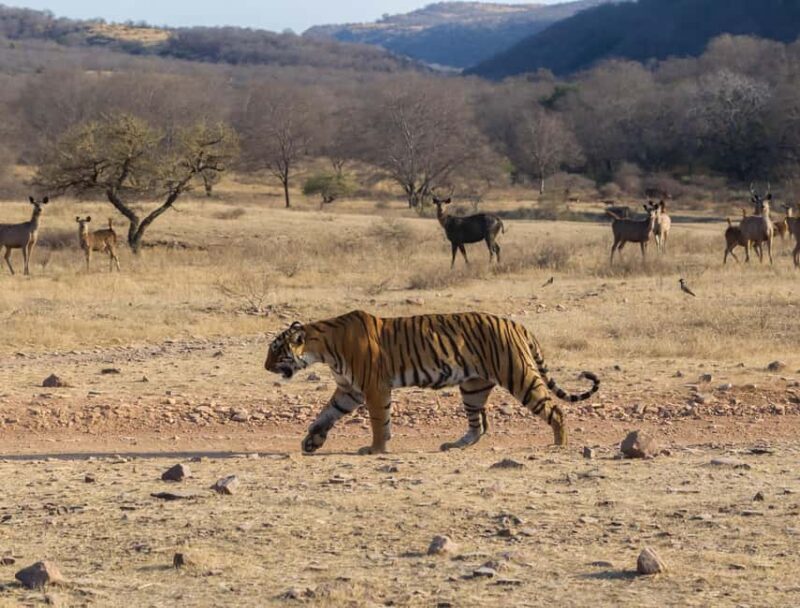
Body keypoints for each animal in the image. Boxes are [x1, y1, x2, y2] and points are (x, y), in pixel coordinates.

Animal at [264, 310, 599, 455]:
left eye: (276, 351)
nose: (265, 367)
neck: (323, 346)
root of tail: (517, 324)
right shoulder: (348, 390)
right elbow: (326, 414)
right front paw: (312, 440)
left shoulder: (373, 387)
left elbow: (378, 421)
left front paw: (375, 448)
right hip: (473, 386)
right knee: (479, 426)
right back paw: (454, 445)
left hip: (519, 376)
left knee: (555, 410)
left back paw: (559, 444)